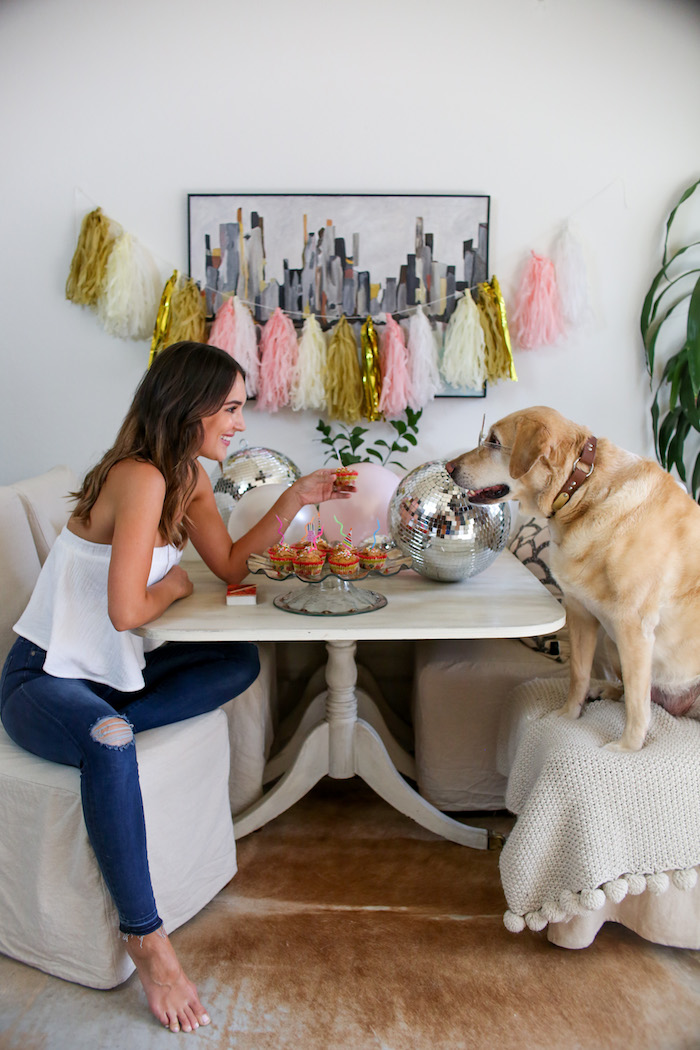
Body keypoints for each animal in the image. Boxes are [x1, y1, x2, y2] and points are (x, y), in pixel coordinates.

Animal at [447, 405, 700, 751]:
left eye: (494, 442)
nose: (448, 467)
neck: (581, 489)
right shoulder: (580, 613)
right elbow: (578, 674)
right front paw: (569, 715)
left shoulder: (634, 627)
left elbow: (638, 703)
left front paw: (628, 747)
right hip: (611, 642)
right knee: (629, 689)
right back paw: (603, 689)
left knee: (642, 695)